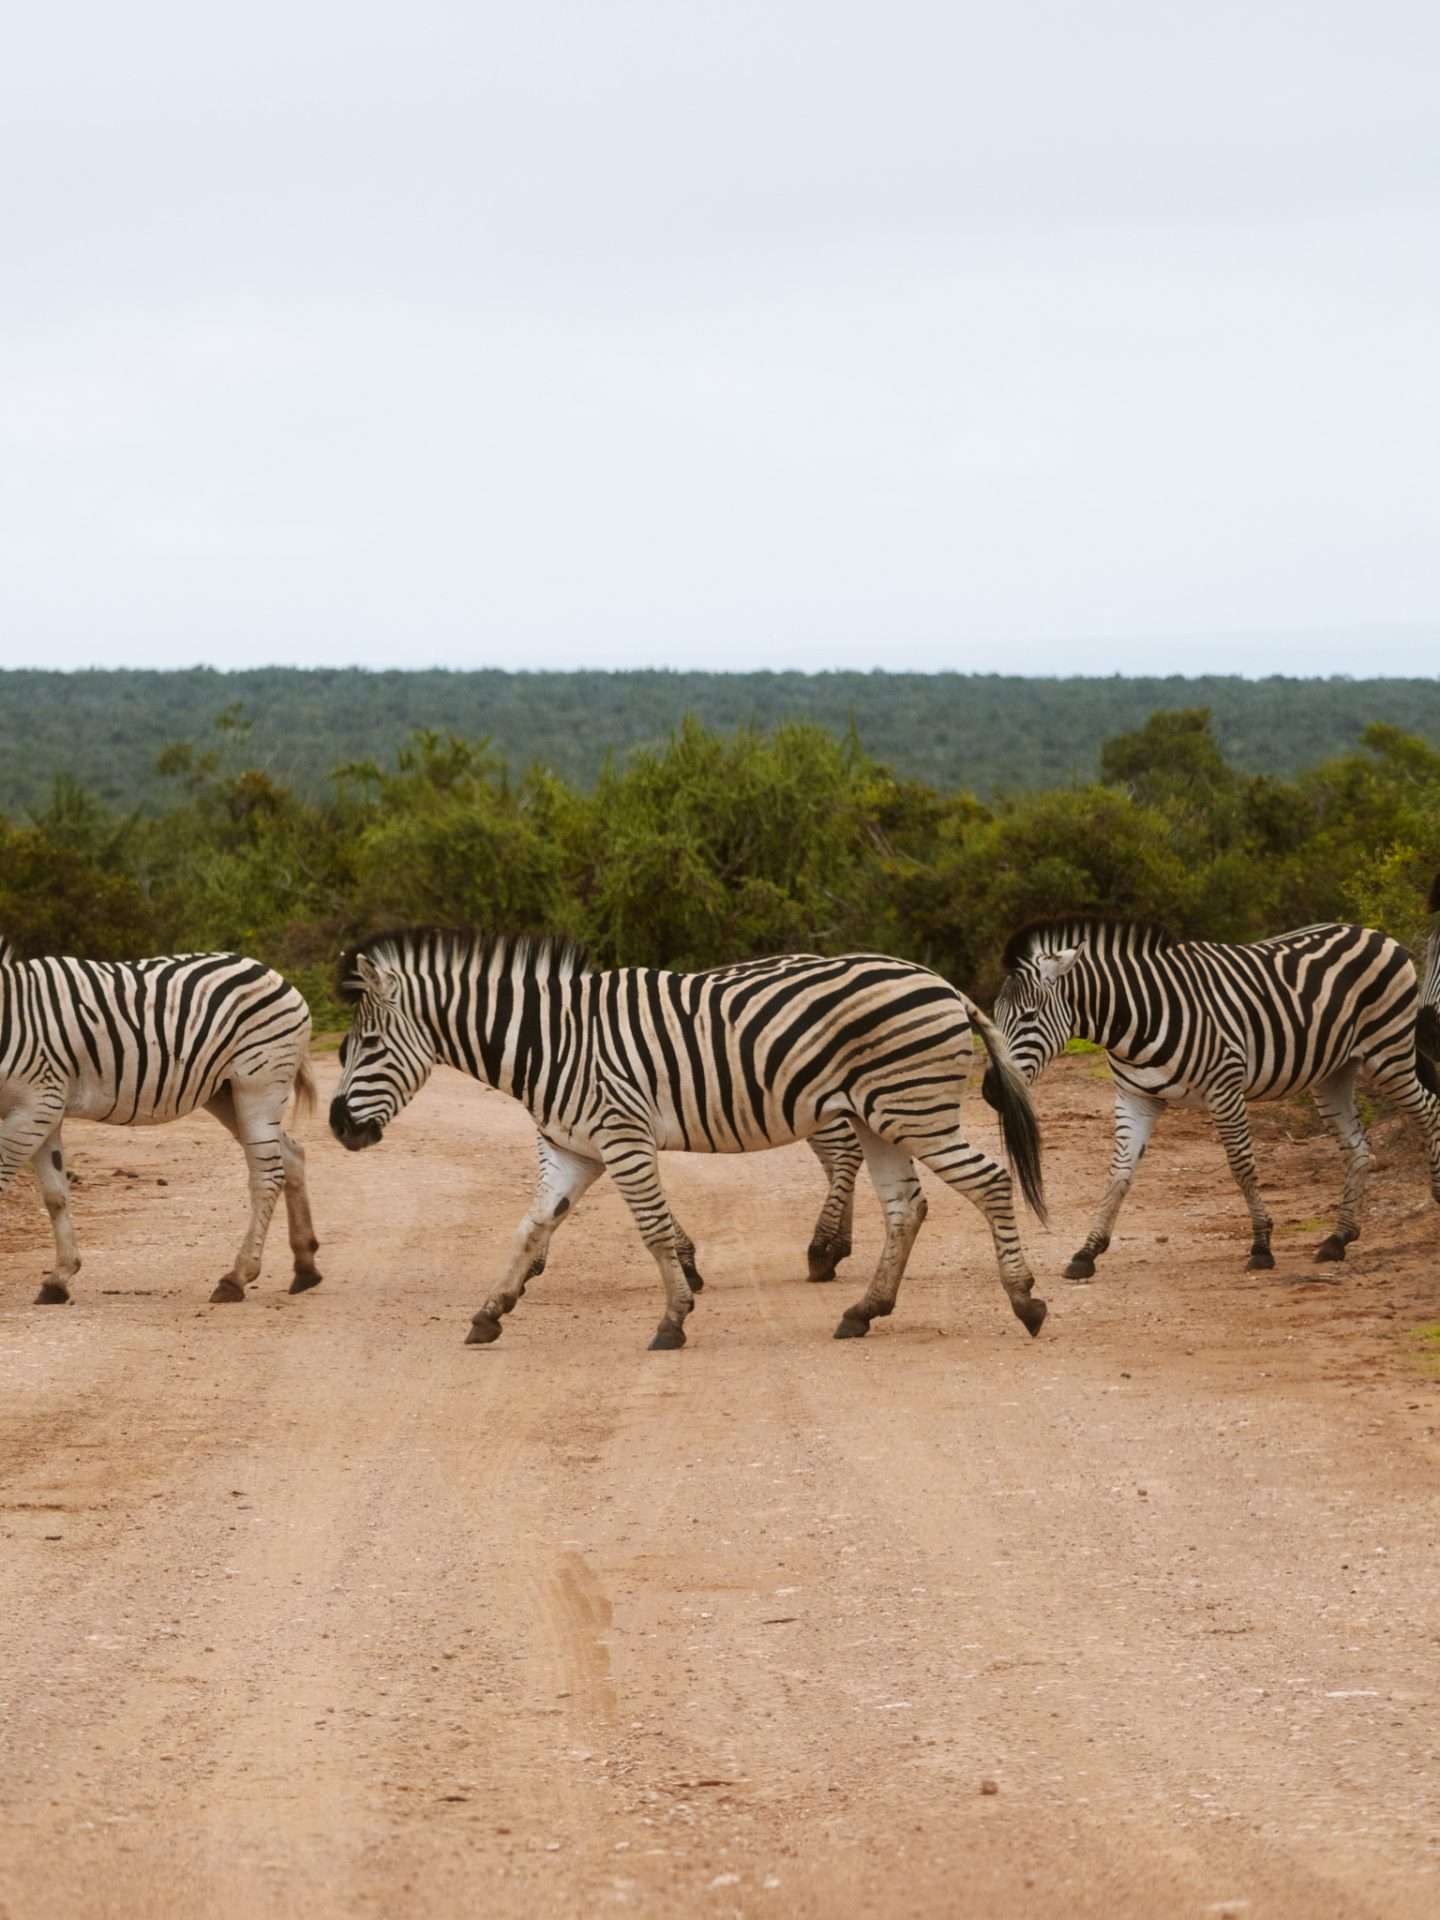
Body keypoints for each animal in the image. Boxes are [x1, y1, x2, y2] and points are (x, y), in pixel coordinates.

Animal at [0, 940, 321, 1305]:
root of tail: (270, 971)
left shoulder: (37, 1105)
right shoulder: (44, 1111)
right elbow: (56, 1196)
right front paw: (59, 1278)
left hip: (259, 1084)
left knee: (267, 1175)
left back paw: (237, 1278)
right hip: (226, 1094)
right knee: (292, 1156)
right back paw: (305, 1267)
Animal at [329, 930, 1046, 1350]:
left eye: (368, 1045)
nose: (337, 1126)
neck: (550, 1040)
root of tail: (941, 983)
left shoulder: (621, 1135)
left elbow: (650, 1229)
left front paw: (673, 1318)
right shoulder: (573, 1149)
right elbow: (531, 1226)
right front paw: (491, 1311)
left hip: (912, 1109)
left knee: (988, 1180)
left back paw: (1025, 1301)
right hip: (881, 1118)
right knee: (906, 1208)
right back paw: (864, 1310)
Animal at [991, 915, 1440, 1280]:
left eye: (1028, 1017)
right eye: (992, 1017)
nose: (991, 1090)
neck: (1136, 1019)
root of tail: (1373, 932)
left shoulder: (1225, 1088)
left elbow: (1242, 1167)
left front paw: (1261, 1246)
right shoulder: (1135, 1096)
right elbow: (1118, 1174)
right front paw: (1087, 1251)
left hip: (1388, 1054)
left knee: (1429, 1110)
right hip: (1333, 1073)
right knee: (1359, 1148)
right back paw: (1338, 1238)